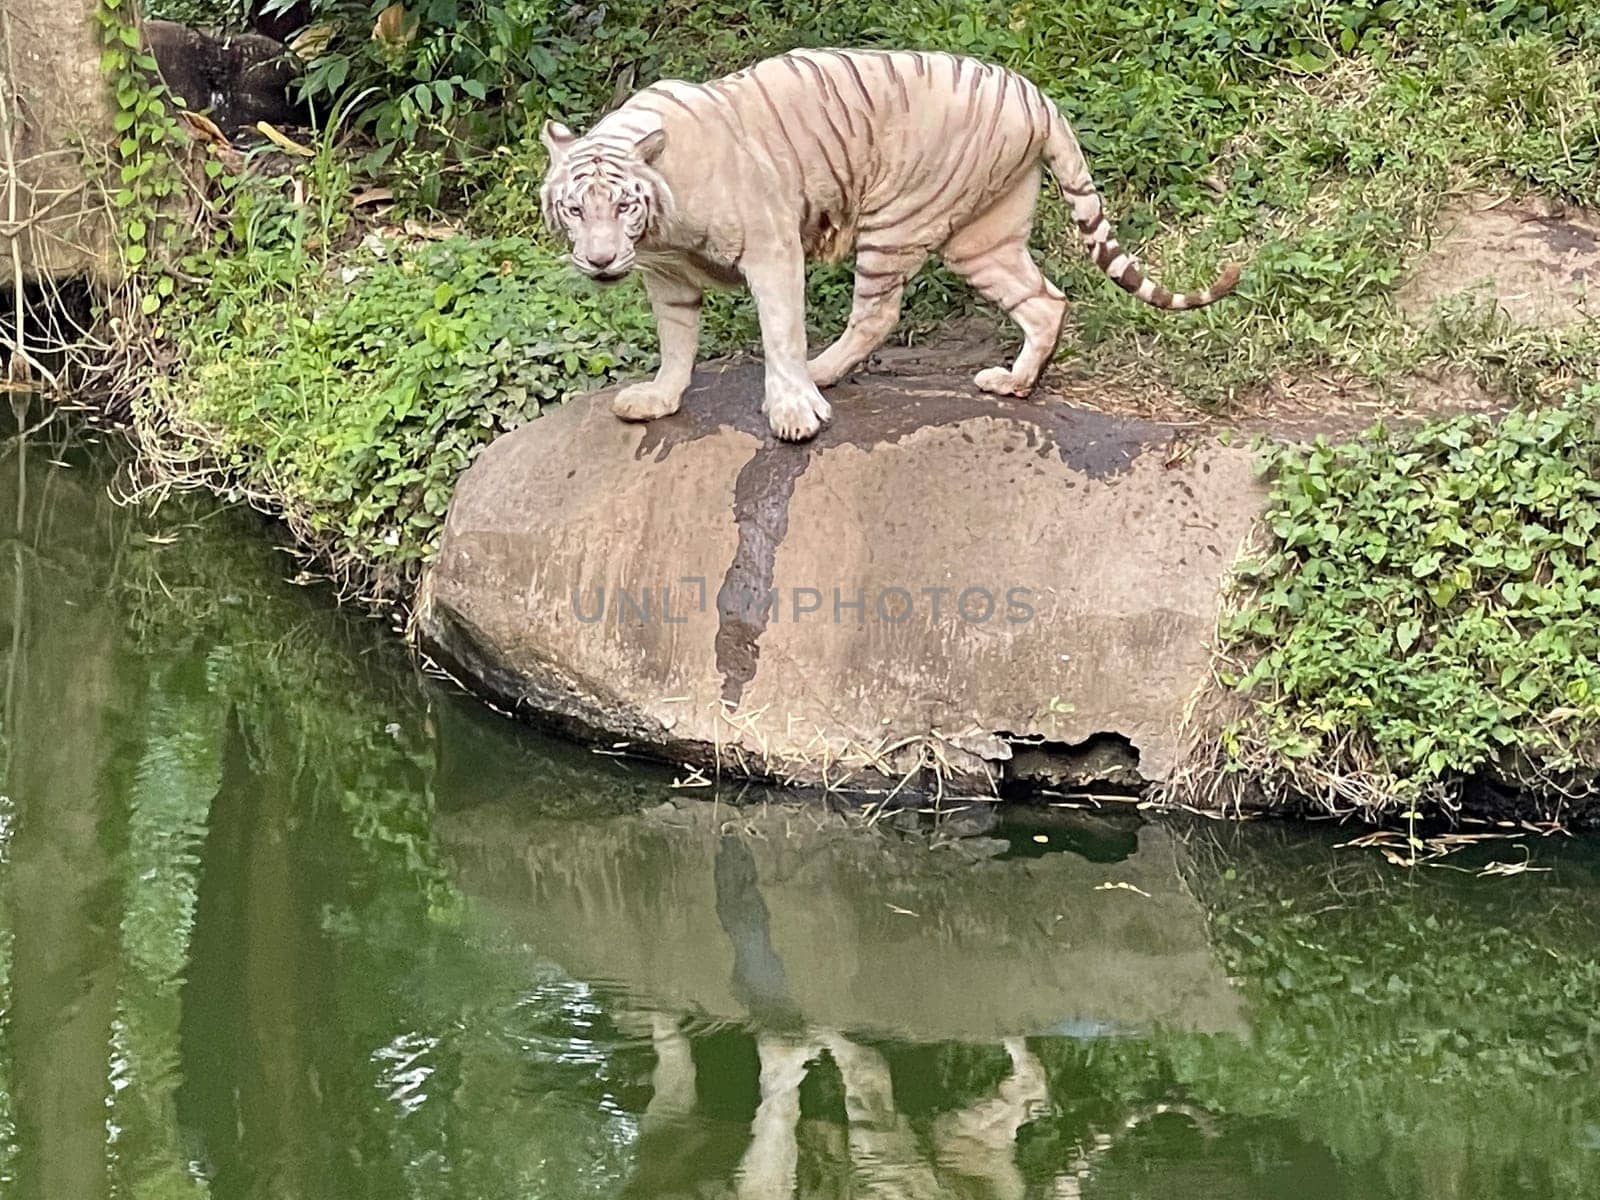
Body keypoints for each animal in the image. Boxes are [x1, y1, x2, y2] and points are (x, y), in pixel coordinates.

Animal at [544, 49, 1241, 441]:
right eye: (575, 209)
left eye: (624, 205)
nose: (599, 261)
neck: (661, 227)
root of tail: (1036, 95)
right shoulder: (665, 276)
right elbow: (676, 340)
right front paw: (659, 399)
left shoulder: (773, 249)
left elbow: (781, 331)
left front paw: (793, 412)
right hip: (981, 235)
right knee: (1046, 299)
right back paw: (1014, 384)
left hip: (897, 218)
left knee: (877, 314)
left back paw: (822, 373)